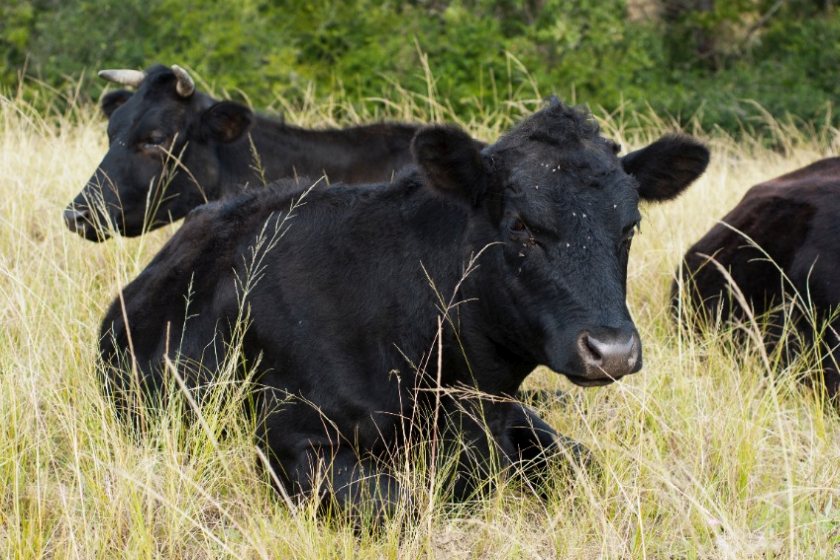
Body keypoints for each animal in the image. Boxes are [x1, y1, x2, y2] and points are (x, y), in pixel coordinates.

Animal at [100, 101, 708, 520]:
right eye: (520, 226)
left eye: (630, 226)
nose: (613, 350)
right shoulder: (288, 442)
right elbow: (403, 505)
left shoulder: (508, 414)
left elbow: (583, 466)